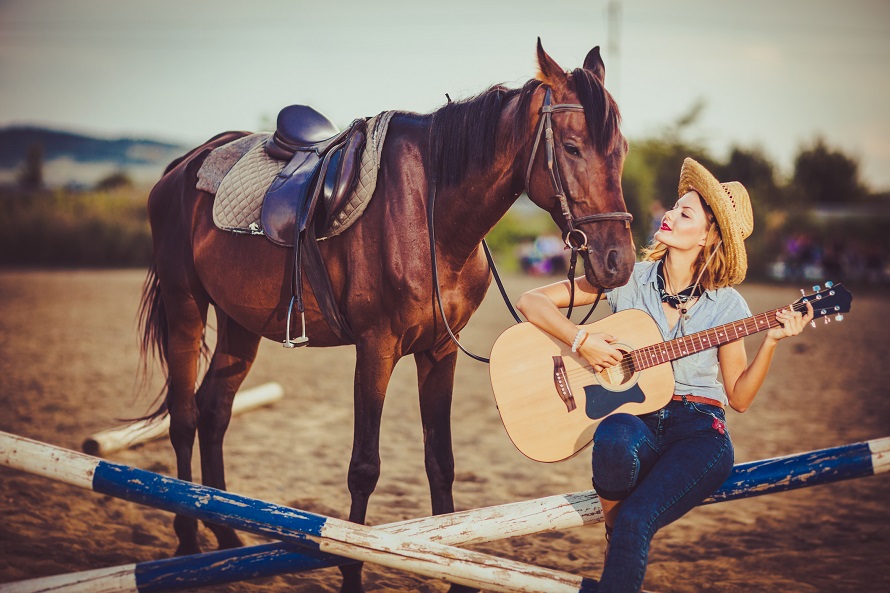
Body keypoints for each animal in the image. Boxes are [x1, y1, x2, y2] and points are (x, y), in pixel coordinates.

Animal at [139, 39, 636, 588]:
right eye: (571, 148)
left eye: (621, 150)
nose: (618, 262)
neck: (431, 213)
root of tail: (182, 165)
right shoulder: (375, 349)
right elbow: (364, 468)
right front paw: (353, 572)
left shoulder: (439, 351)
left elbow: (440, 461)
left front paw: (454, 572)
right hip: (186, 307)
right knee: (184, 418)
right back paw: (187, 545)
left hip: (239, 323)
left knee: (214, 411)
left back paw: (224, 543)